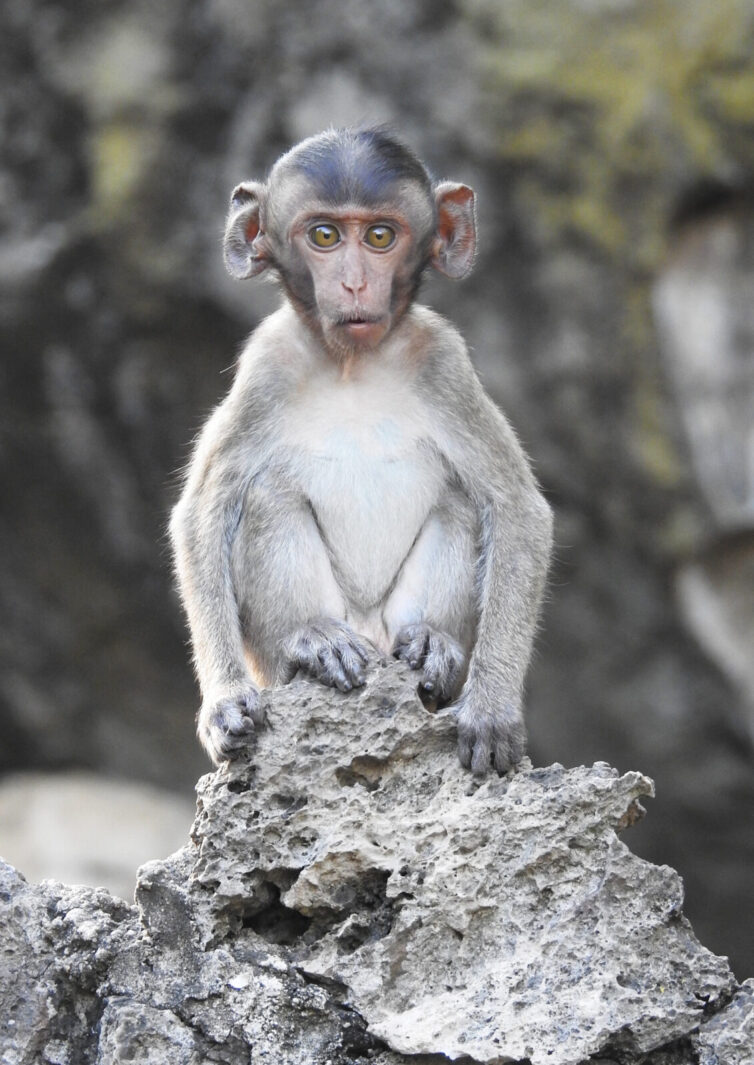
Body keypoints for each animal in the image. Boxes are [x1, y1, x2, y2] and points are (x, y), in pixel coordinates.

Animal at [168, 126, 549, 775]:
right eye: (324, 236)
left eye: (379, 237)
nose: (352, 283)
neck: (352, 364)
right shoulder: (266, 365)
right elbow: (202, 513)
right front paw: (224, 703)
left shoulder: (444, 361)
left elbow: (518, 509)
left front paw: (492, 709)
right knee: (266, 497)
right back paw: (311, 641)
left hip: (394, 628)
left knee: (460, 504)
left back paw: (432, 646)